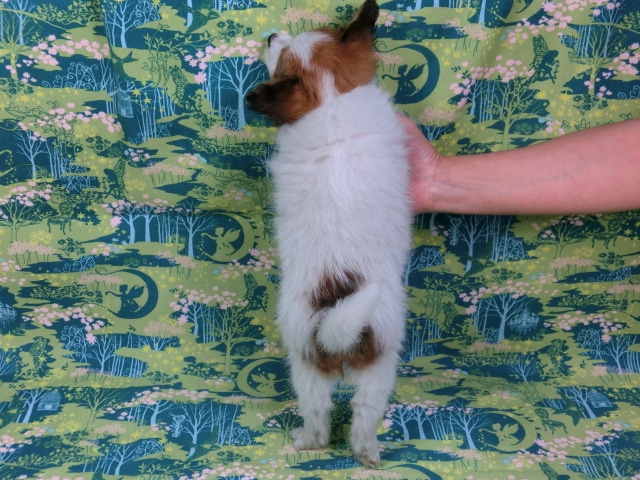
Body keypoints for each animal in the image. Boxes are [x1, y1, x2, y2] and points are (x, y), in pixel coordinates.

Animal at [246, 0, 412, 467]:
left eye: (280, 57)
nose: (271, 35)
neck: (330, 99)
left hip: (310, 362)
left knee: (324, 415)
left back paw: (314, 442)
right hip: (371, 366)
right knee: (355, 415)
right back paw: (365, 452)